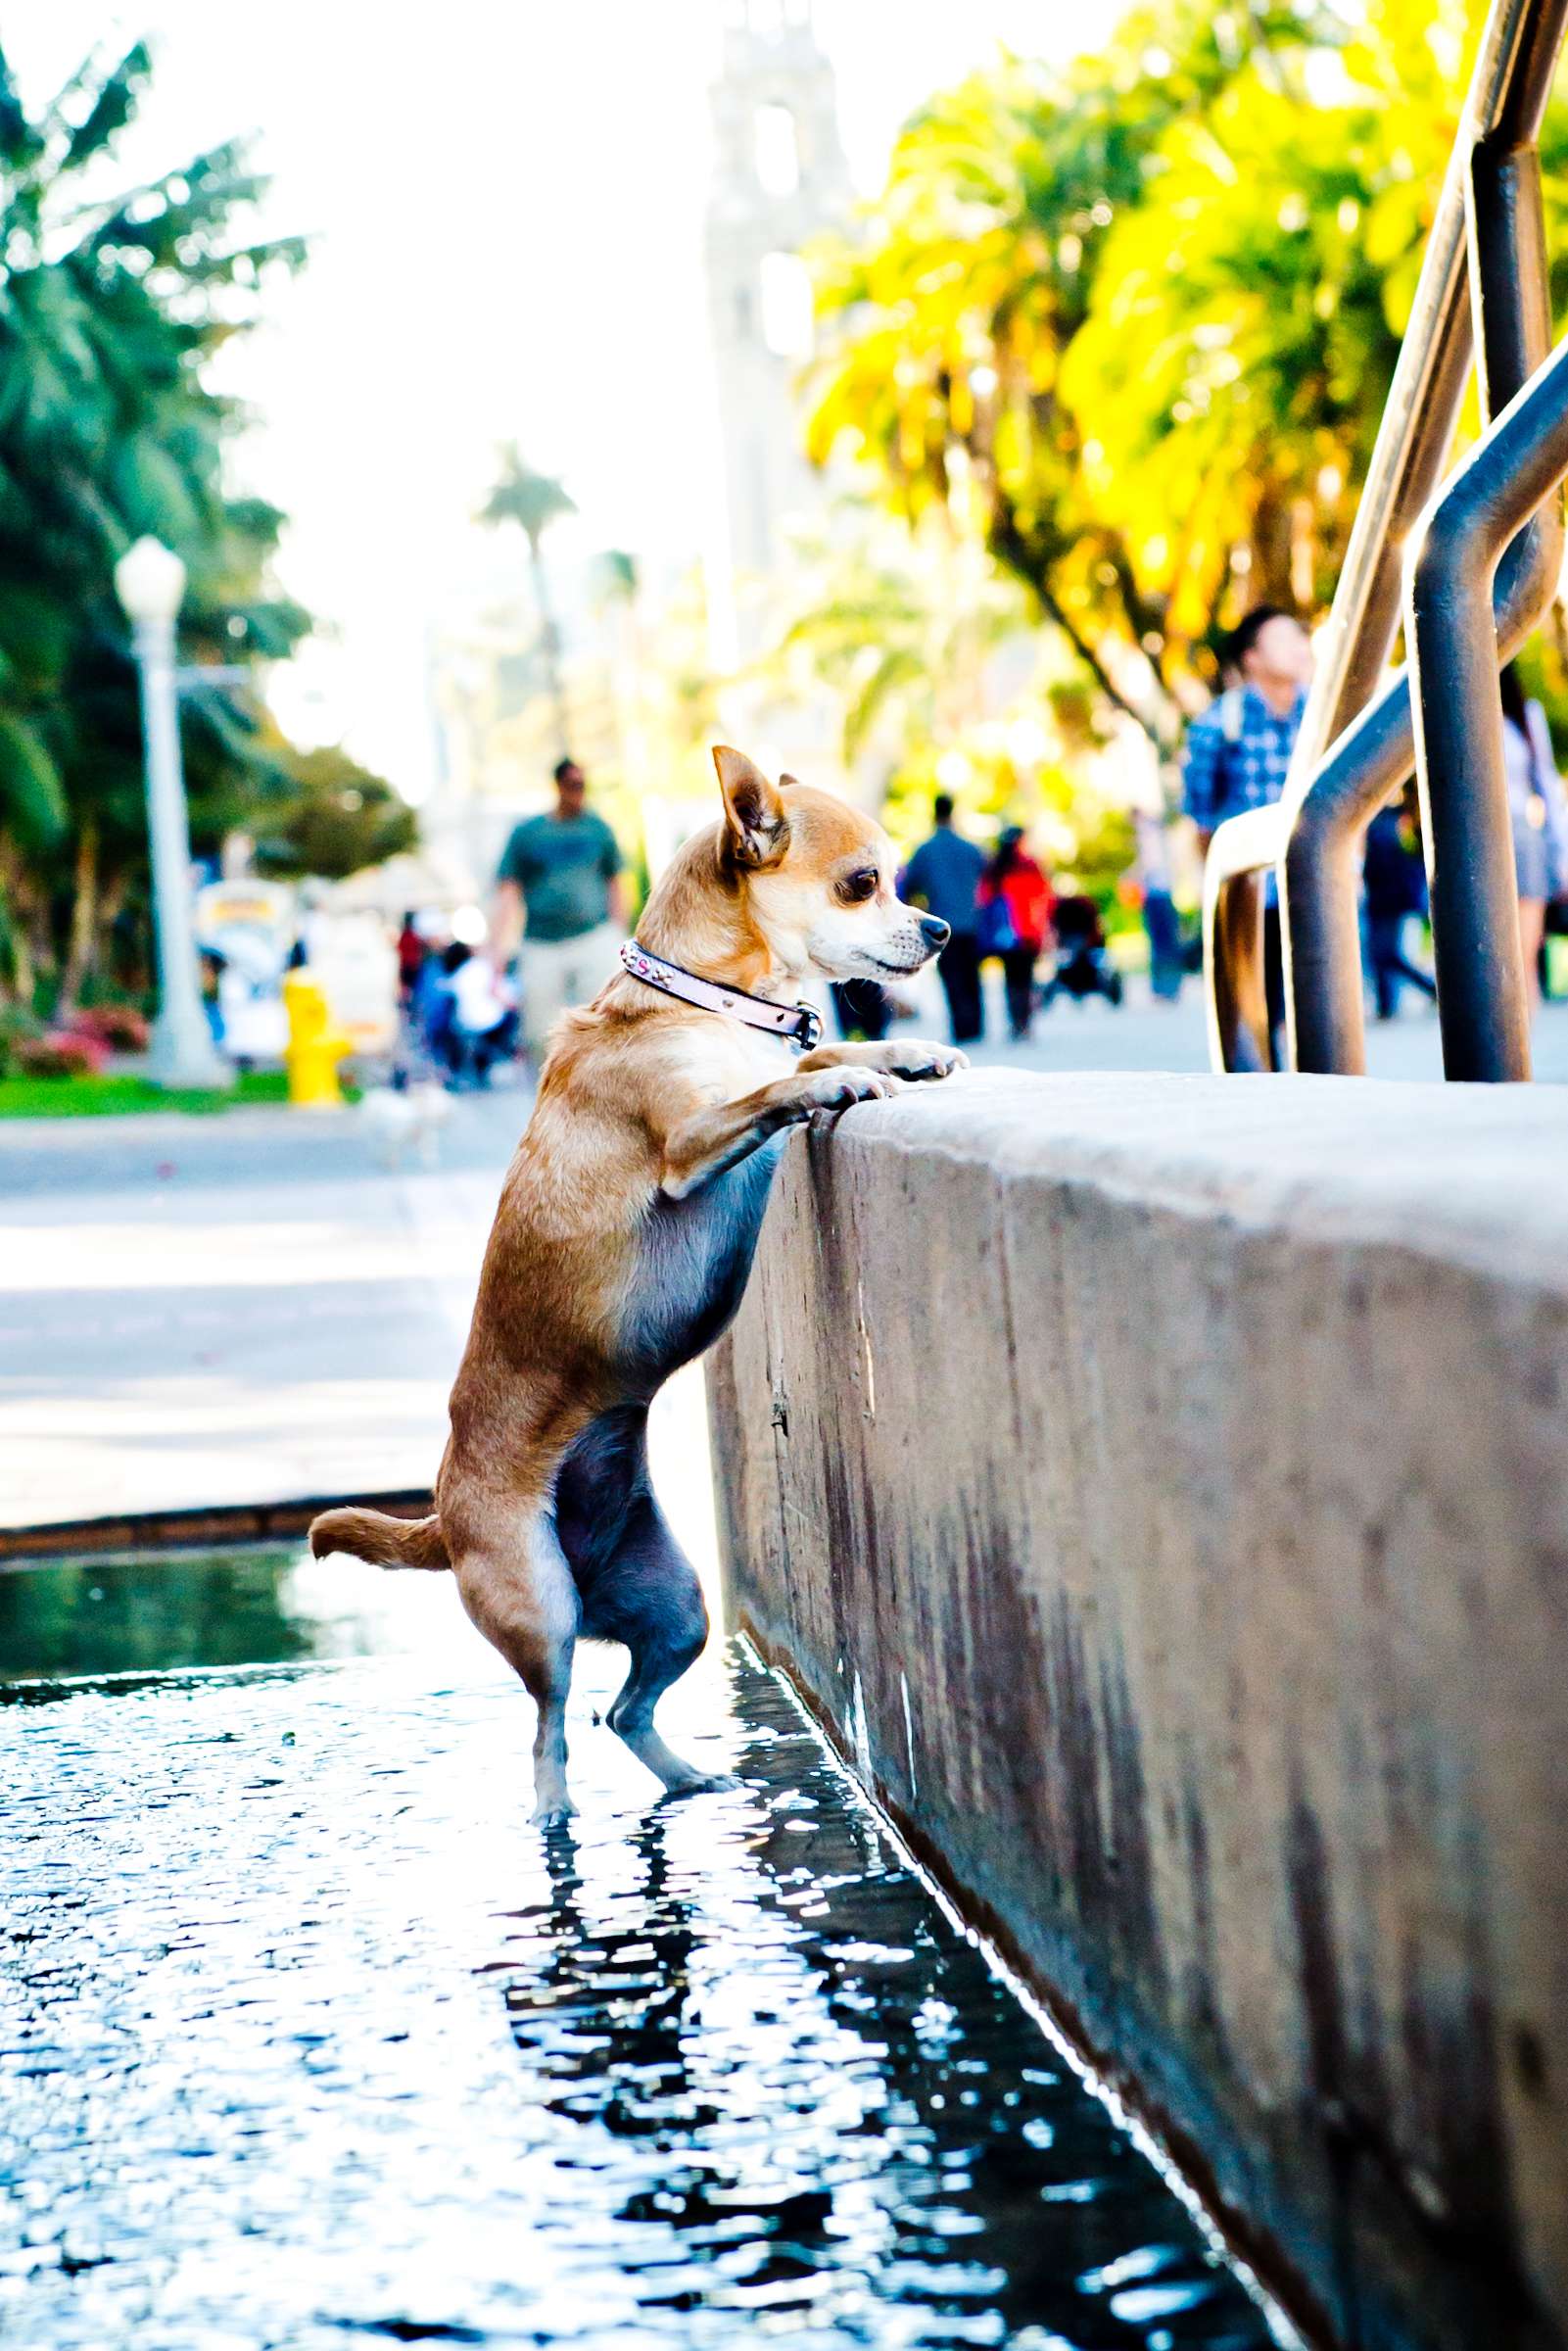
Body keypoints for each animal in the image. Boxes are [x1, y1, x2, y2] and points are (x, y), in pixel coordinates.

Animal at [312, 747, 964, 1814]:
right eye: (862, 883)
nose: (942, 927)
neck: (710, 1003)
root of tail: (443, 1514)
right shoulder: (690, 1141)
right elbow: (779, 1084)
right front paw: (831, 1081)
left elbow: (827, 1041)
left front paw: (902, 1049)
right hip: (538, 1610)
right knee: (550, 1732)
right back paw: (557, 1821)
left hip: (673, 1606)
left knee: (623, 1711)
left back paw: (693, 1781)